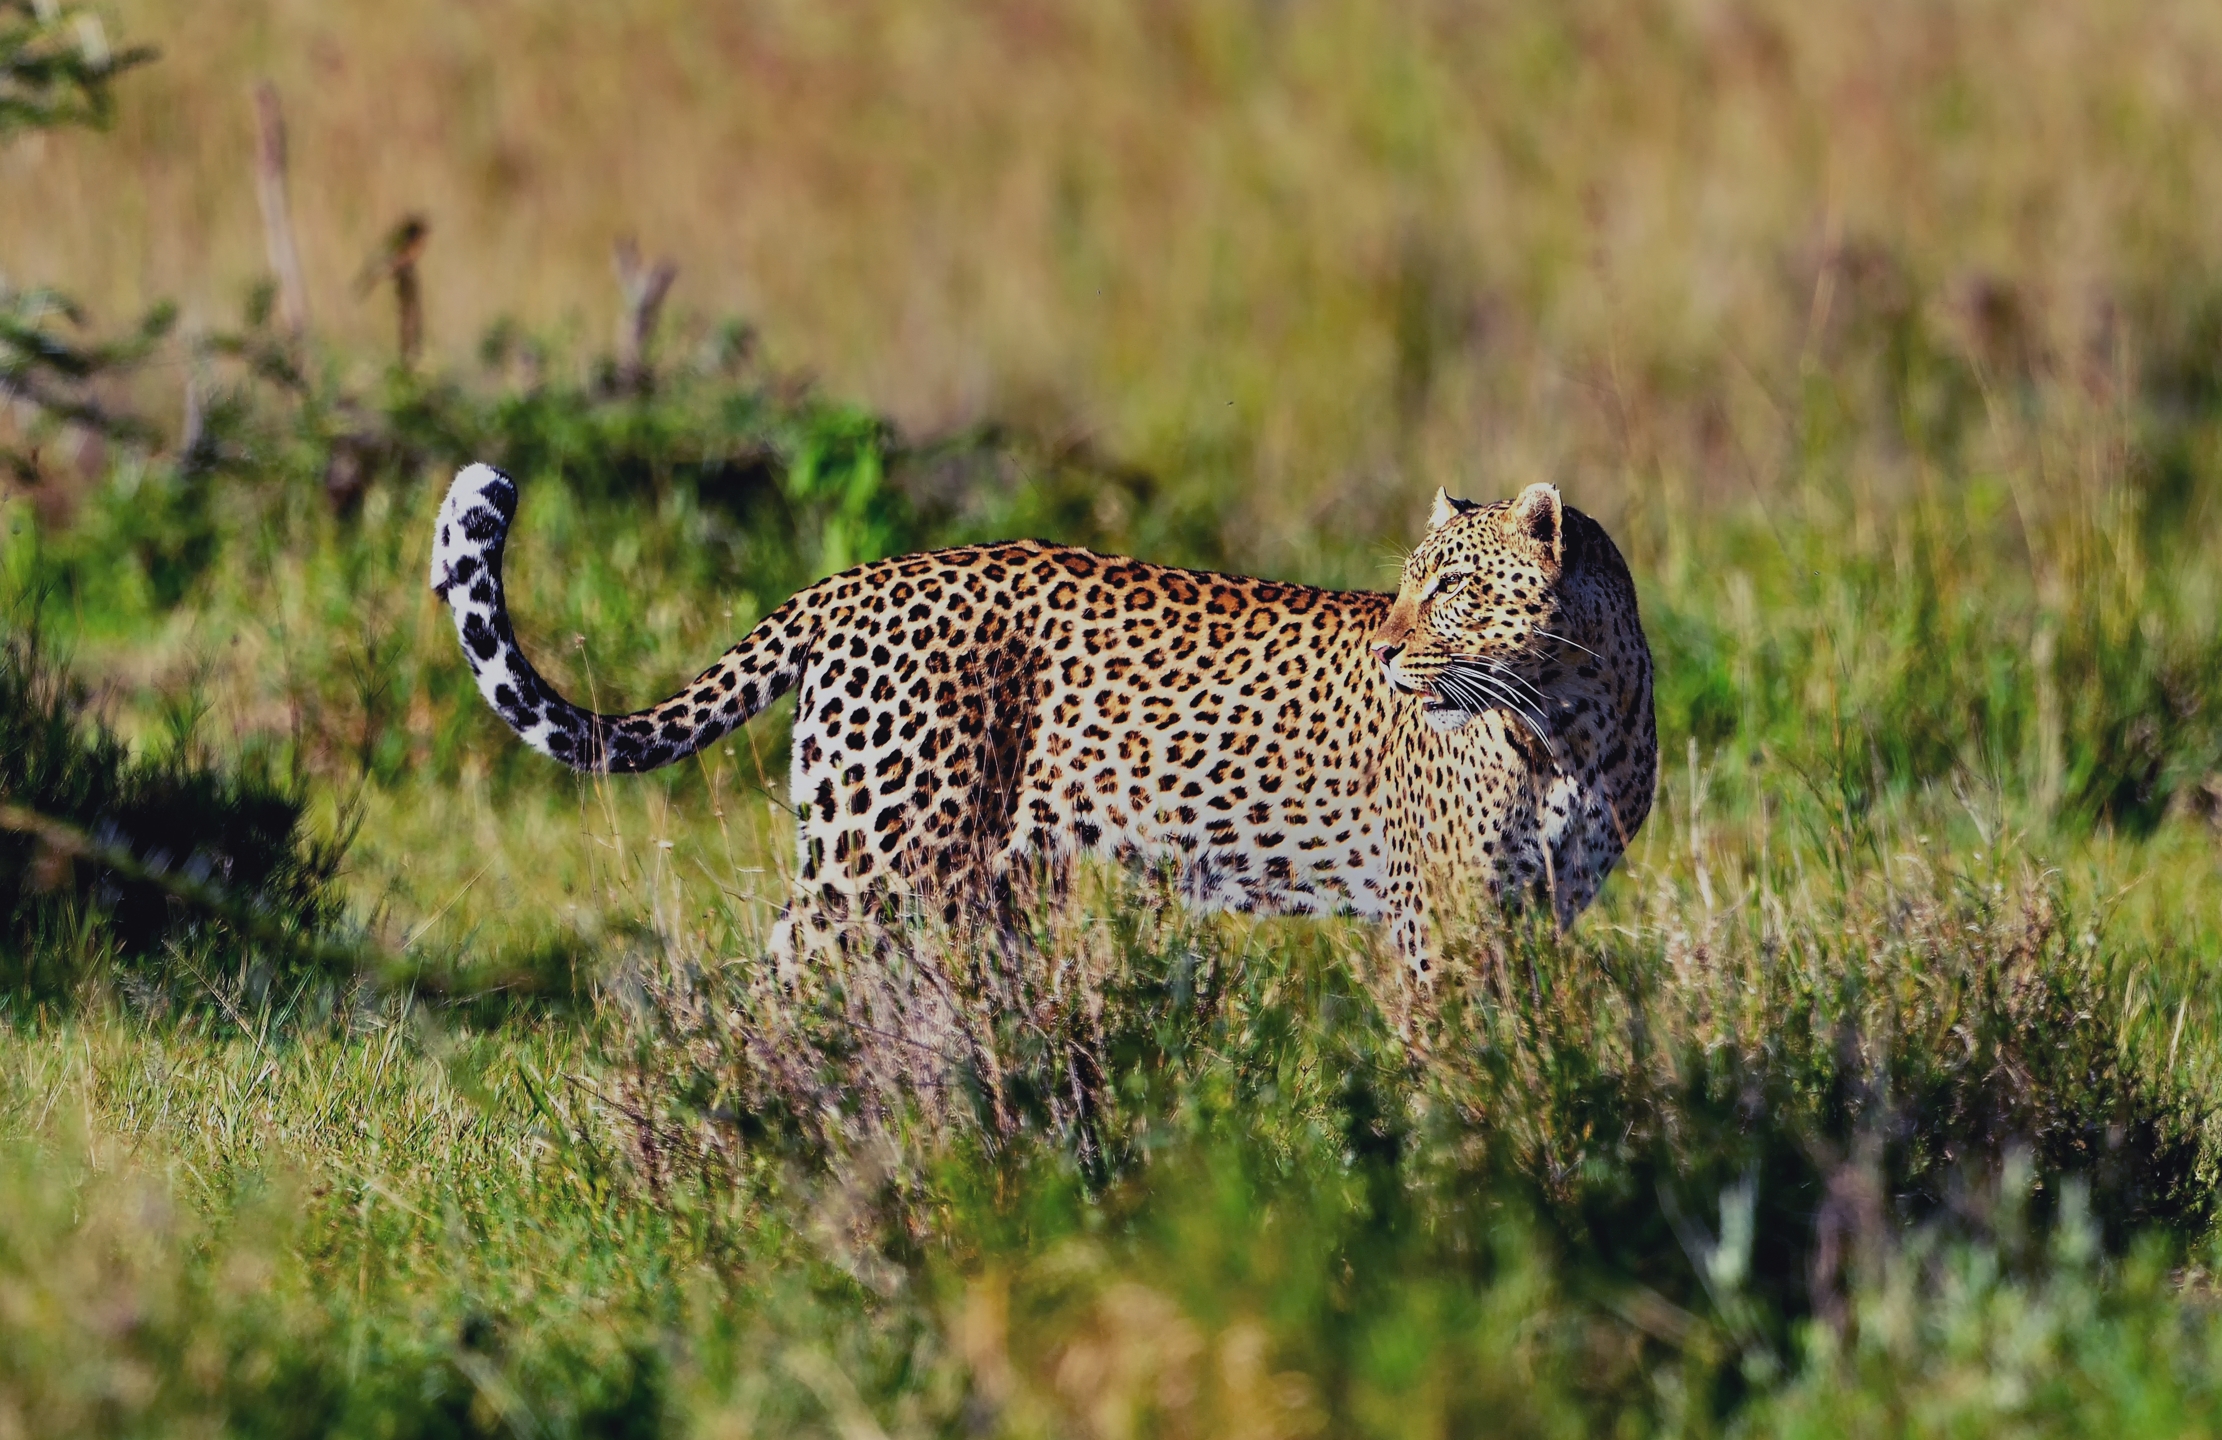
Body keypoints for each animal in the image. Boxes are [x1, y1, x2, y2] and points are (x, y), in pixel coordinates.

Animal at [429, 462, 1656, 975]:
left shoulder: (1539, 913)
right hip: (873, 857)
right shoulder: (1436, 914)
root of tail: (854, 578)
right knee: (783, 972)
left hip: (985, 880)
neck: (1565, 721)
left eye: (1451, 587)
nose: (1394, 648)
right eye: (1405, 585)